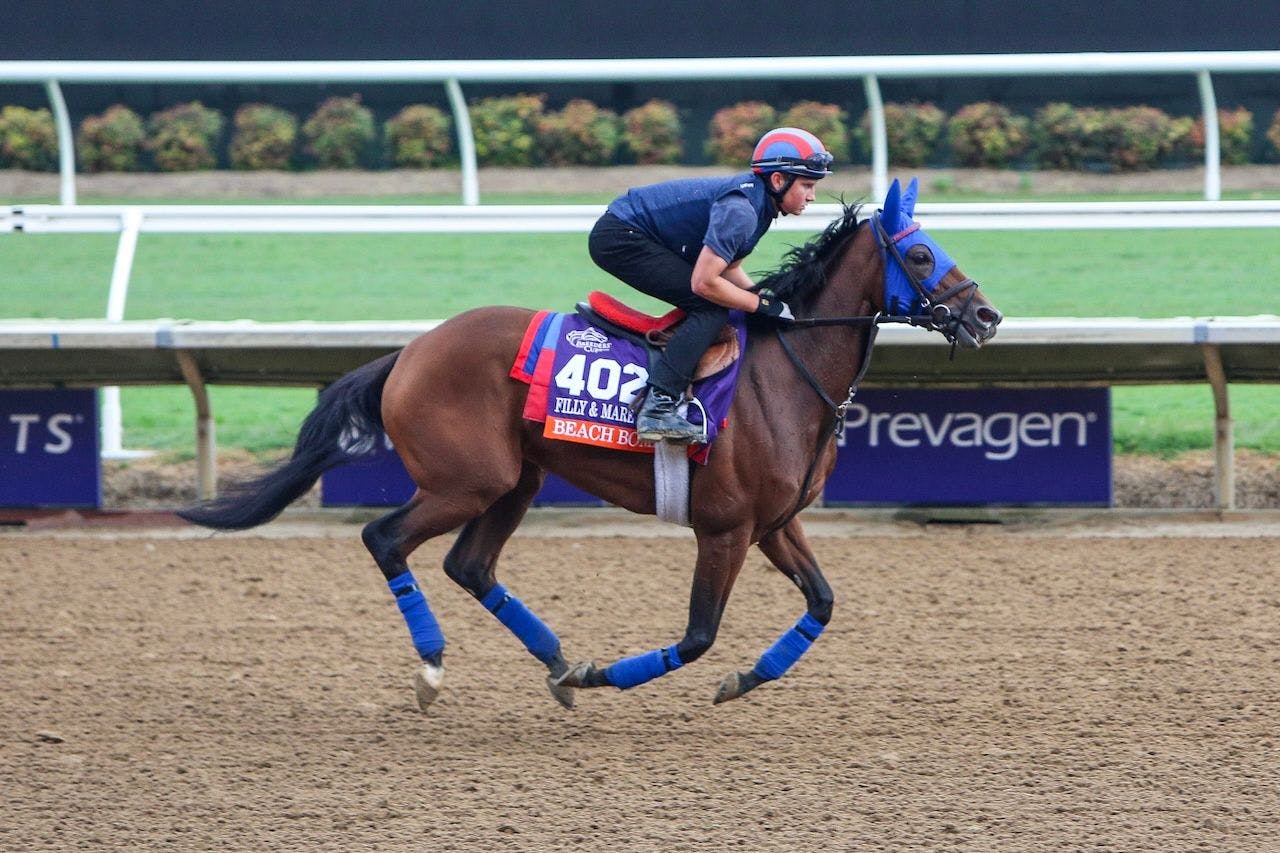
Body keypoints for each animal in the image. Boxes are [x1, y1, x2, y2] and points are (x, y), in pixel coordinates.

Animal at [177, 180, 998, 712]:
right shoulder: (725, 528)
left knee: (469, 565)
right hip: (465, 481)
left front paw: (742, 679)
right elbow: (698, 635)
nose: (987, 315)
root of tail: (408, 353)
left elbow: (823, 604)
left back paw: (554, 660)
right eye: (921, 256)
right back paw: (437, 668)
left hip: (516, 480)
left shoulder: (774, 523)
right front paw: (605, 677)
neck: (786, 374)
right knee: (385, 540)